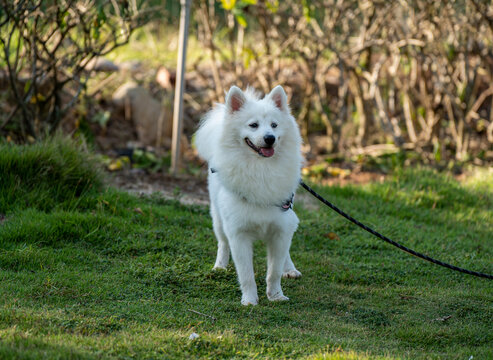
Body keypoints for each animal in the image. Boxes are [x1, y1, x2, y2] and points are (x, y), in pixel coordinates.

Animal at [194, 86, 302, 306]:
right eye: (253, 125)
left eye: (274, 125)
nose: (270, 138)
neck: (260, 169)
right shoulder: (238, 234)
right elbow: (246, 275)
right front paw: (250, 300)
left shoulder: (280, 229)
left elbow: (274, 271)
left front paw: (276, 296)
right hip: (218, 221)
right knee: (222, 243)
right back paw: (220, 266)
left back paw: (290, 268)